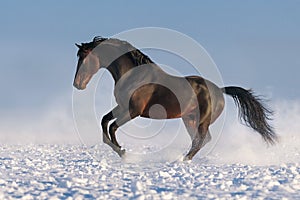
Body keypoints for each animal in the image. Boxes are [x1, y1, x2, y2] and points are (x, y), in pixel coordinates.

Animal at [73, 36, 276, 161]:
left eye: (84, 57)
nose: (77, 84)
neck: (134, 75)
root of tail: (219, 90)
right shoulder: (122, 107)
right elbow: (104, 121)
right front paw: (118, 149)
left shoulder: (133, 111)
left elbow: (112, 127)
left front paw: (123, 153)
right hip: (189, 119)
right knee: (201, 140)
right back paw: (184, 159)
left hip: (201, 121)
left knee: (201, 140)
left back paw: (182, 160)